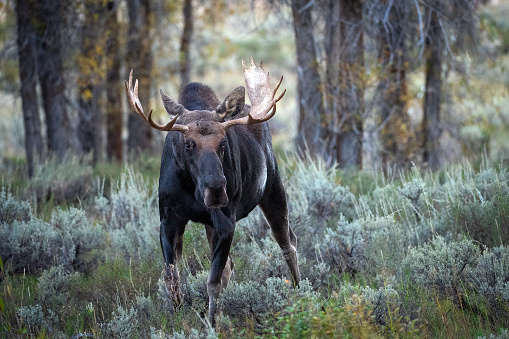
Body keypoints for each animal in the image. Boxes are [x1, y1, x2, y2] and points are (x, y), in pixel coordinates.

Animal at [124, 58, 300, 326]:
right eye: (188, 144)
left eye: (223, 142)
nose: (216, 189)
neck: (192, 190)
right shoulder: (168, 220)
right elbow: (172, 277)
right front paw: (178, 317)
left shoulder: (225, 223)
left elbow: (213, 281)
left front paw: (212, 324)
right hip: (212, 223)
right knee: (235, 263)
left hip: (273, 188)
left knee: (289, 245)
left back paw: (302, 294)